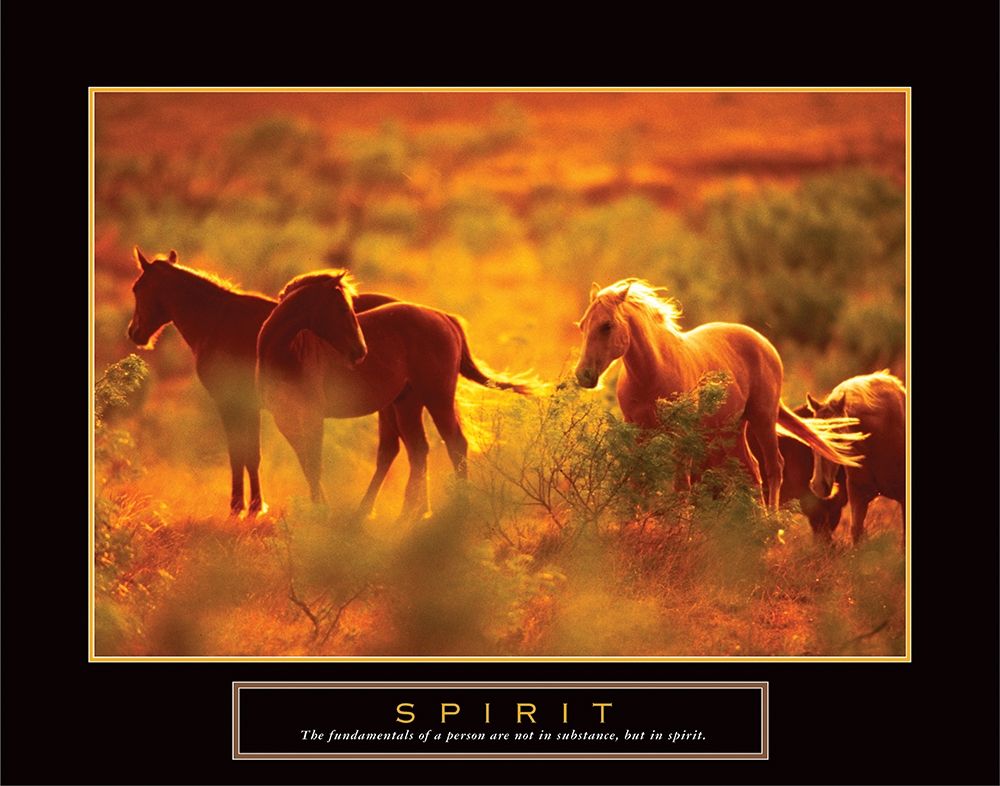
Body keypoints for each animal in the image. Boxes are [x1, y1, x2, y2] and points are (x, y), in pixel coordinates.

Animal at [126, 247, 396, 516]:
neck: (218, 323)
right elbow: (251, 456)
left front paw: (241, 507)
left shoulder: (230, 404)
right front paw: (254, 505)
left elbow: (239, 455)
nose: (134, 332)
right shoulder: (250, 407)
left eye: (137, 288)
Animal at [256, 270, 533, 520]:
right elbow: (307, 463)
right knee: (417, 449)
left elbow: (314, 463)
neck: (288, 353)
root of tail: (443, 316)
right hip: (406, 404)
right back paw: (407, 513)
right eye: (343, 309)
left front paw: (320, 514)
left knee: (455, 443)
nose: (360, 351)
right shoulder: (285, 419)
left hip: (436, 399)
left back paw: (455, 508)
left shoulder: (313, 417)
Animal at [573, 278, 864, 509]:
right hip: (732, 429)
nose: (583, 375)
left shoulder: (681, 435)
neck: (652, 374)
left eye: (607, 325)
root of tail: (764, 343)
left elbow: (681, 486)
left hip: (762, 419)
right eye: (583, 325)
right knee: (752, 469)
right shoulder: (638, 433)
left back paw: (772, 528)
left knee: (774, 467)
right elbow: (636, 482)